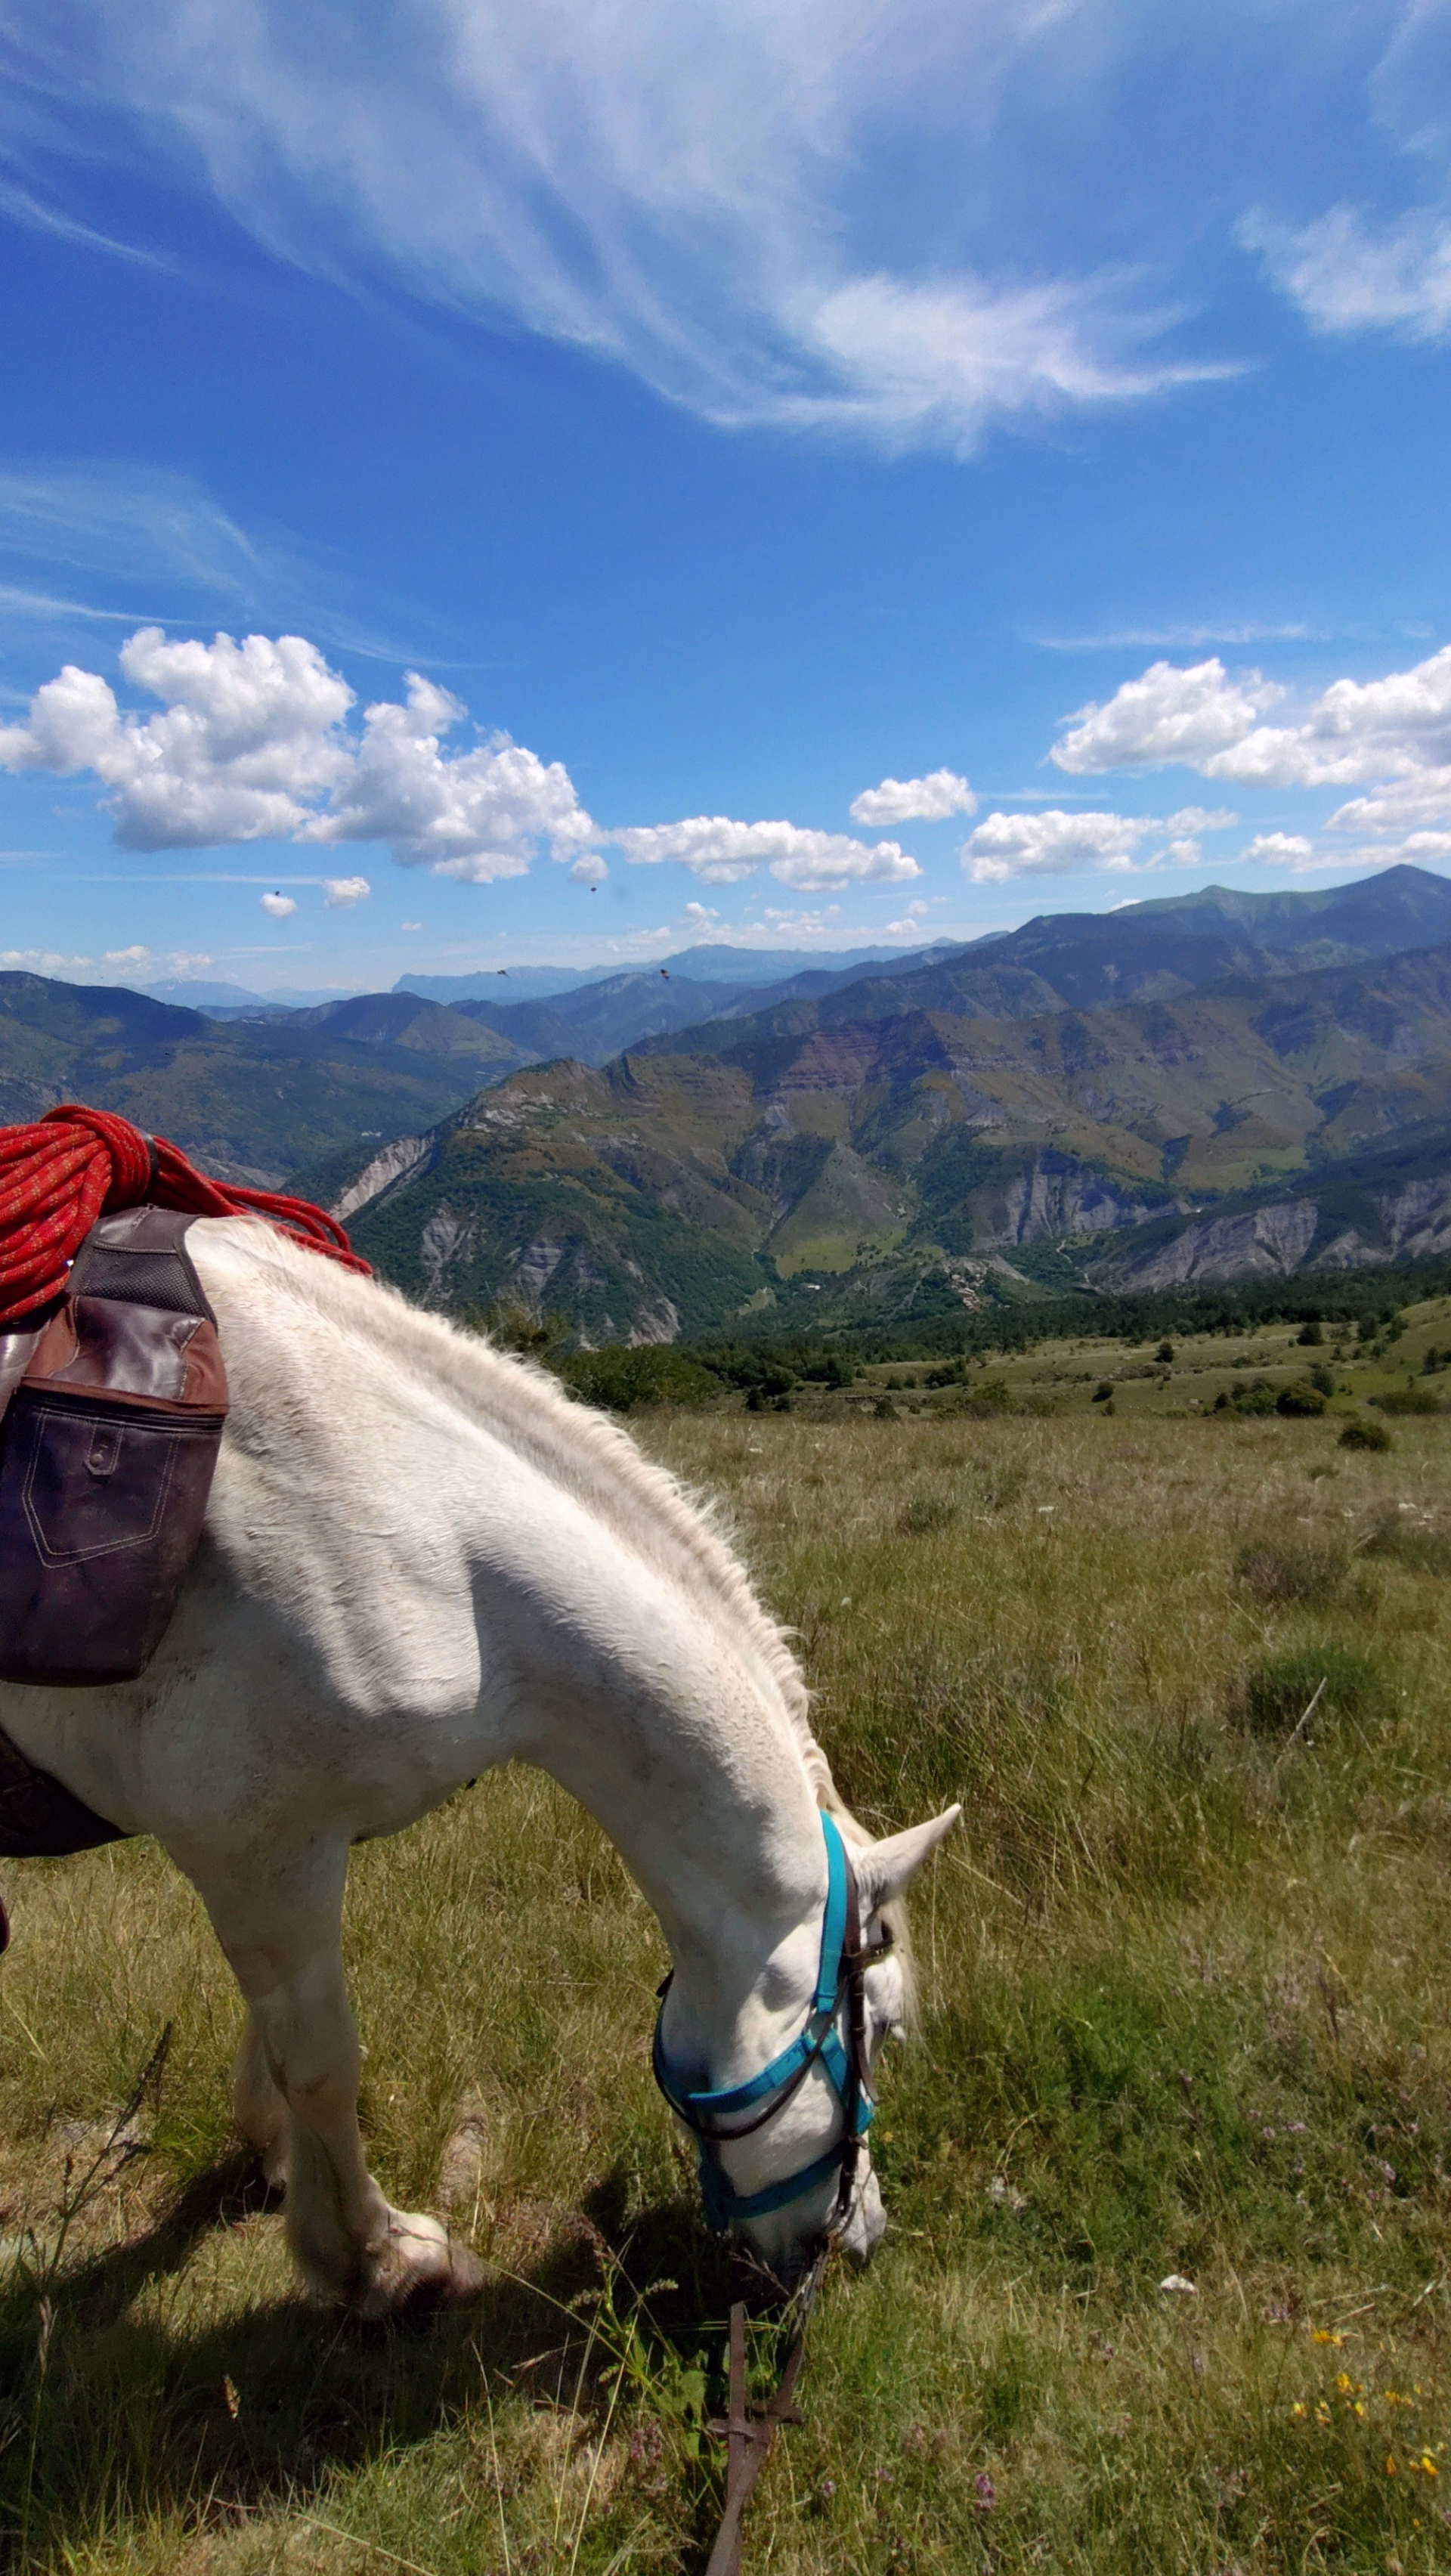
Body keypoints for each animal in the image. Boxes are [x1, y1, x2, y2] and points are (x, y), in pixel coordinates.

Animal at [0, 1214, 958, 2316]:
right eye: (885, 2030)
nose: (859, 2240)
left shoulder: (275, 1857)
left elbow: (275, 2034)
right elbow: (322, 2062)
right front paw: (375, 2260)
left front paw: (277, 2158)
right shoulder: (257, 1848)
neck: (421, 1533)